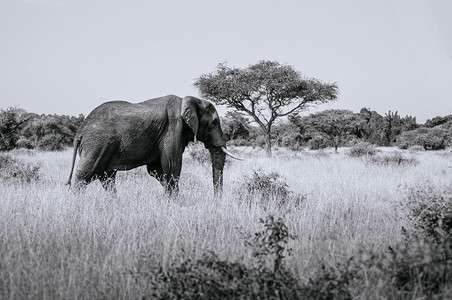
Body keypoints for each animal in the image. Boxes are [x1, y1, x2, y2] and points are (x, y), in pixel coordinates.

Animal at [66, 95, 242, 196]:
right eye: (214, 123)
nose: (216, 202)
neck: (190, 100)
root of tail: (80, 131)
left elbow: (156, 170)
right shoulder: (173, 127)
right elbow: (172, 166)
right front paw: (173, 203)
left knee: (107, 178)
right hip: (97, 143)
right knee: (85, 175)